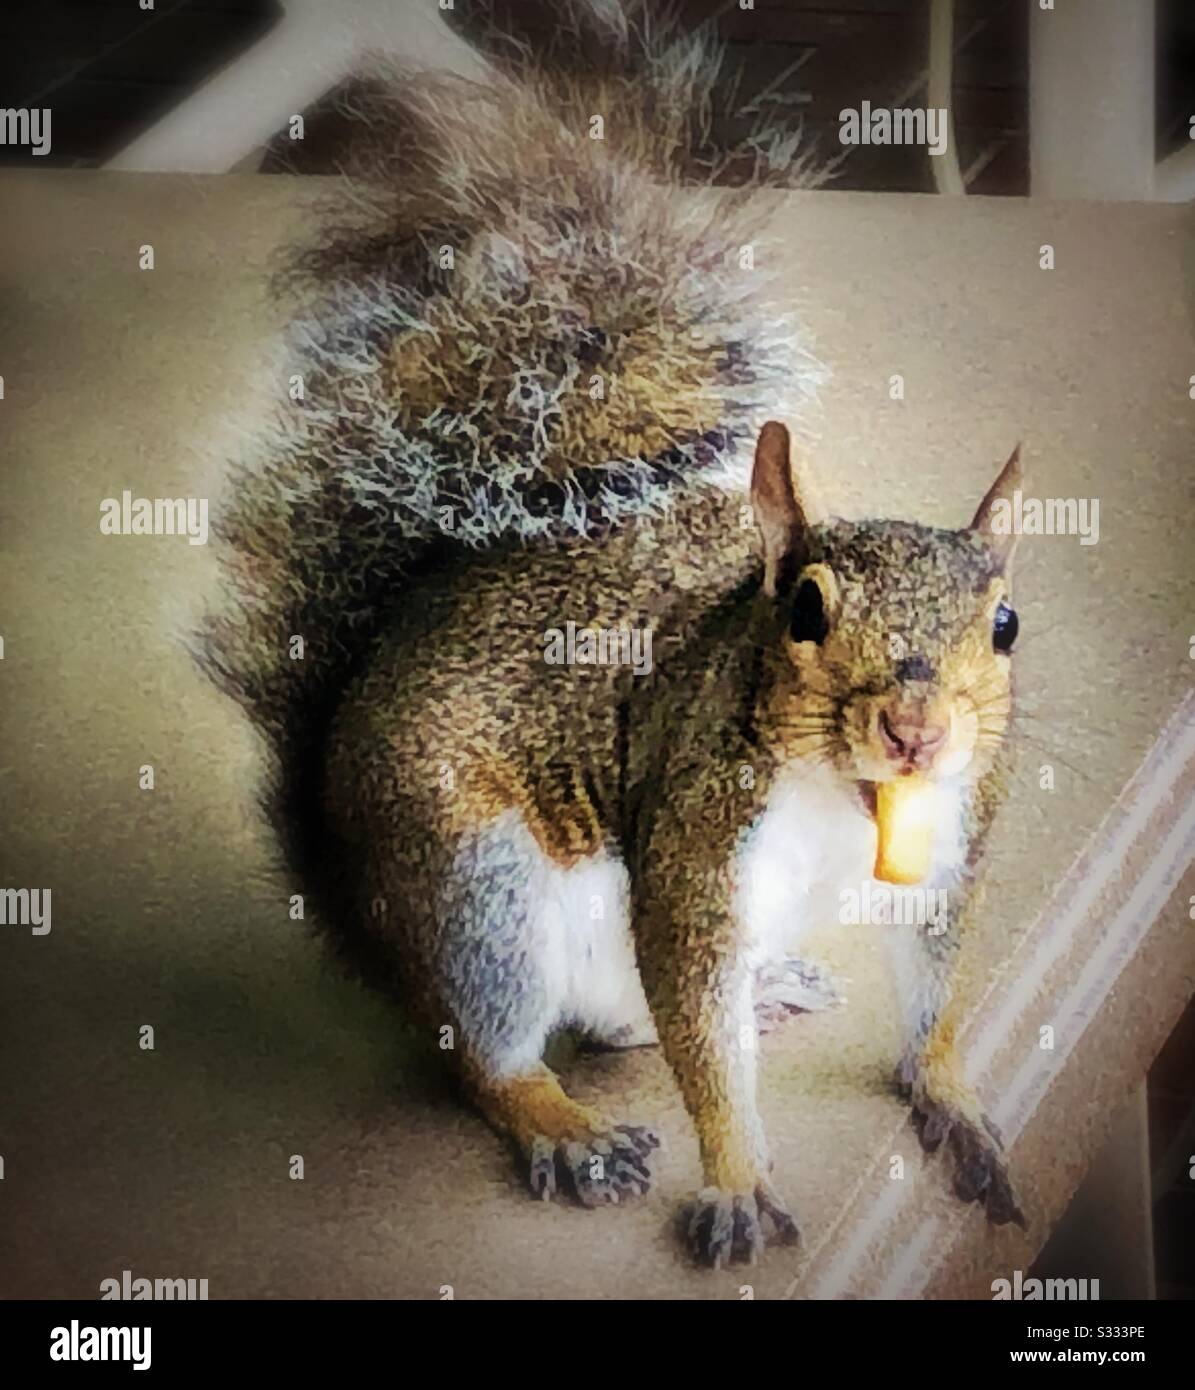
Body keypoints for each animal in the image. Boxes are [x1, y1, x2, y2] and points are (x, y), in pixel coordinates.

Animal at [199, 0, 1026, 1266]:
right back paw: (564, 1128)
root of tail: (357, 897)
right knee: (500, 1054)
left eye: (1007, 623)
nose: (915, 732)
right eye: (803, 610)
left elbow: (931, 990)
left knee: (621, 1021)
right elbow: (701, 1041)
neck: (847, 801)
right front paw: (736, 1178)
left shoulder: (944, 852)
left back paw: (764, 993)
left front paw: (952, 1096)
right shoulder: (694, 849)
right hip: (473, 884)